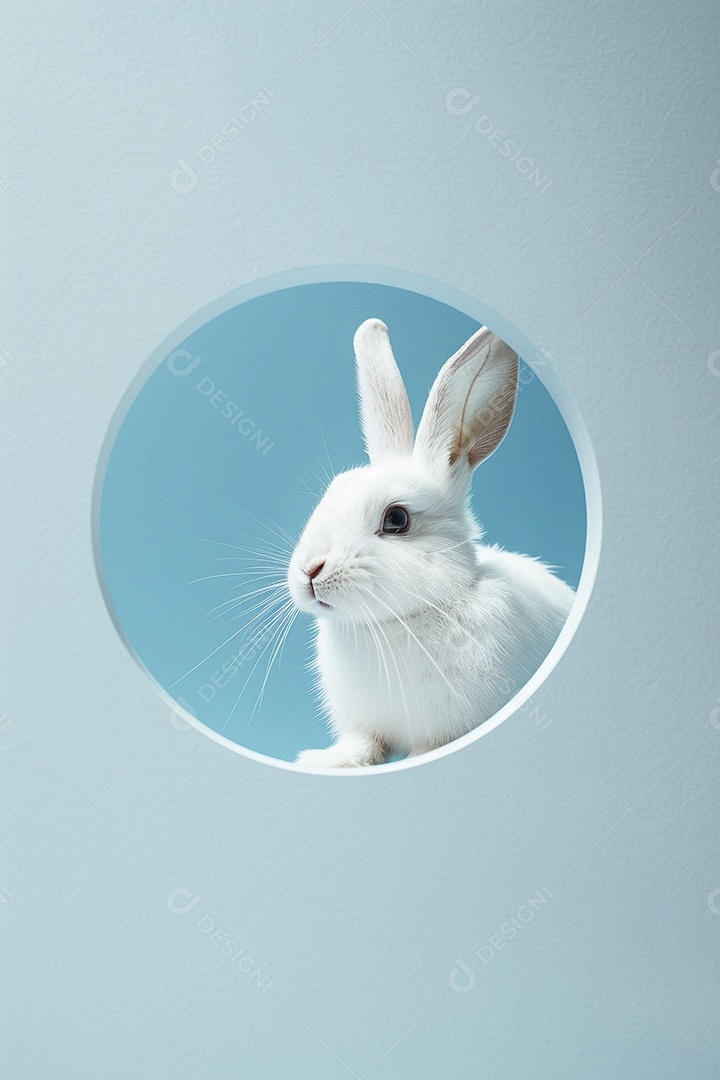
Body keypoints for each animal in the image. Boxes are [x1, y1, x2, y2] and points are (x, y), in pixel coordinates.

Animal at [287, 318, 576, 768]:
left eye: (396, 520)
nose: (309, 571)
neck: (395, 621)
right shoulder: (365, 725)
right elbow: (365, 744)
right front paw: (325, 760)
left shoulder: (450, 727)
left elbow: (431, 746)